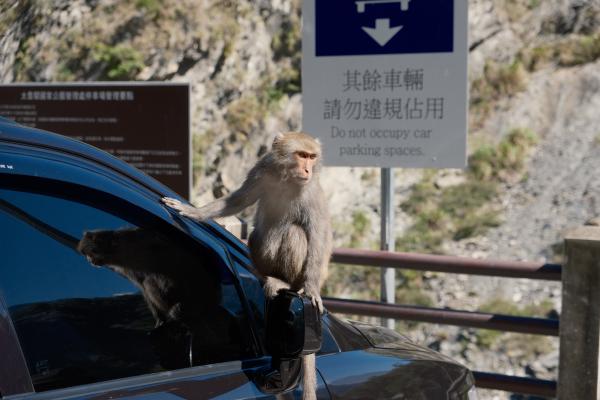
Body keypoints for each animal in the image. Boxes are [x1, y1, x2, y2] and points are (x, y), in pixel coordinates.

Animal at [162, 132, 332, 400]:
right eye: (302, 155)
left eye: (312, 157)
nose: (308, 169)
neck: (287, 177)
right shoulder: (262, 170)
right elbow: (238, 199)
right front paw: (193, 212)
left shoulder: (311, 191)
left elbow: (317, 234)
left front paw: (313, 289)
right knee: (255, 235)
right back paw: (265, 276)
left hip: (297, 275)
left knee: (295, 233)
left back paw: (285, 282)